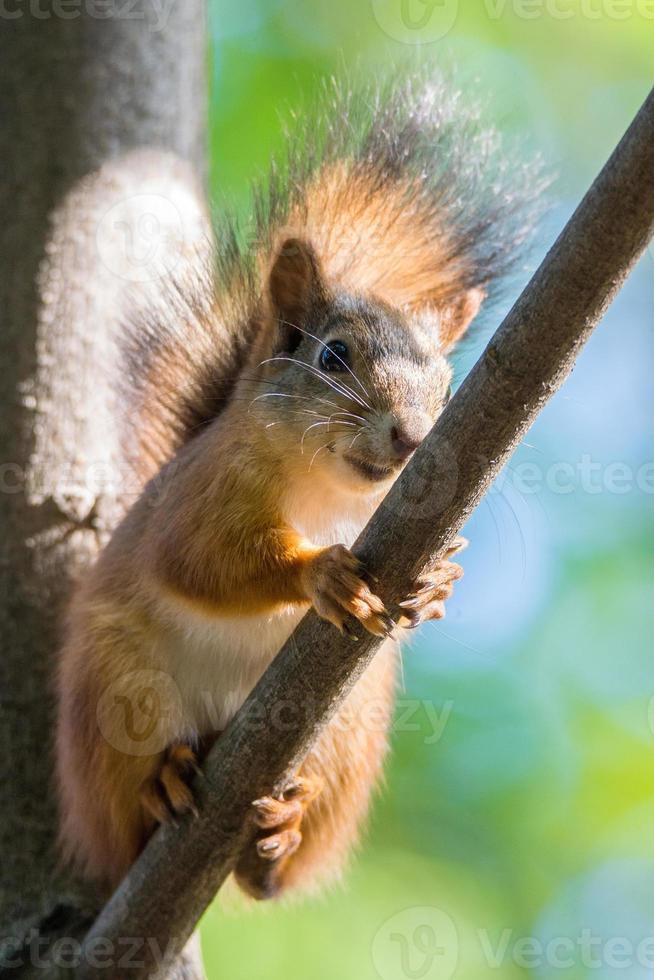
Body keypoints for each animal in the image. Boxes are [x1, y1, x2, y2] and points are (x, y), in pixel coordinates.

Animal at [55, 72, 540, 900]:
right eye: (332, 356)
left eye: (448, 388)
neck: (330, 496)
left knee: (274, 871)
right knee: (126, 816)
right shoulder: (199, 496)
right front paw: (320, 574)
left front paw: (439, 580)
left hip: (350, 731)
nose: (412, 439)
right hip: (117, 694)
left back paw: (278, 835)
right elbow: (199, 561)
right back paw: (160, 787)